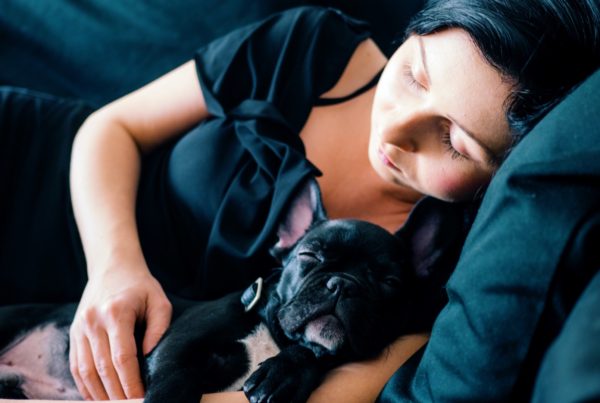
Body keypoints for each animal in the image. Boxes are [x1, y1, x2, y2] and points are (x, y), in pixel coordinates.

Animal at [1, 181, 478, 403]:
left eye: (390, 283)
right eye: (310, 256)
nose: (342, 283)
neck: (269, 333)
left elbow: (313, 352)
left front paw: (284, 372)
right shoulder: (173, 353)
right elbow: (173, 385)